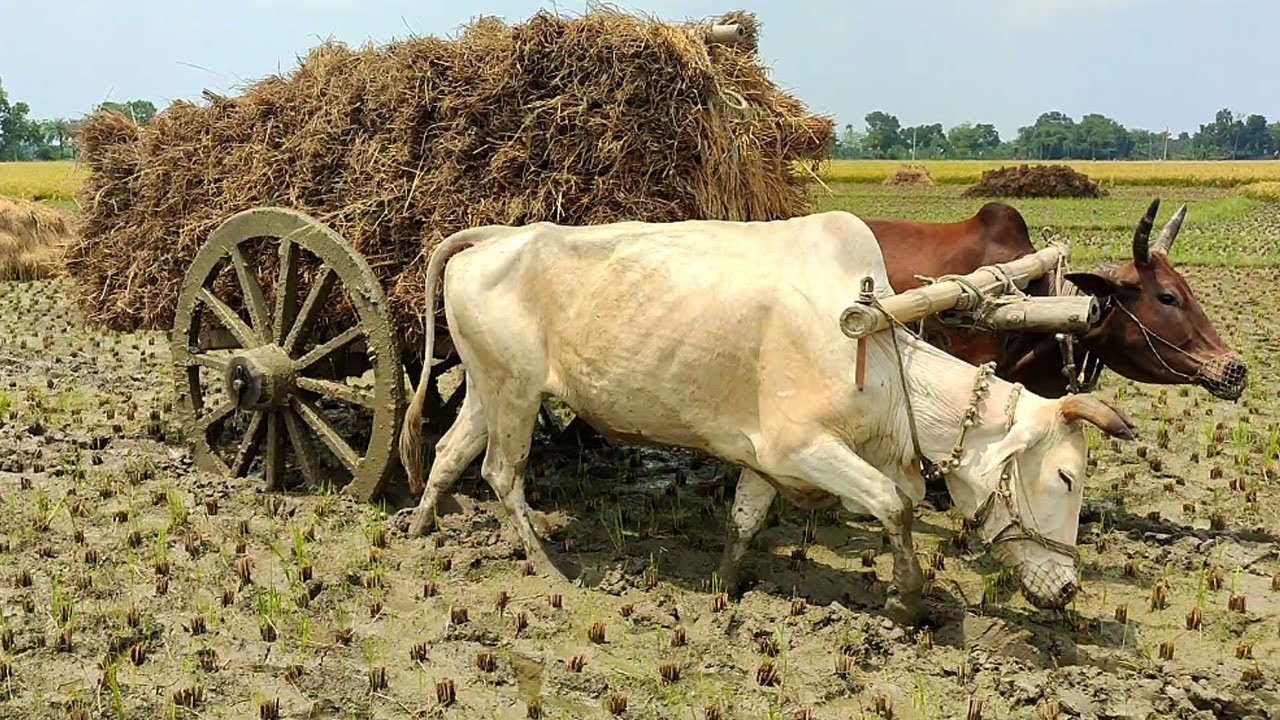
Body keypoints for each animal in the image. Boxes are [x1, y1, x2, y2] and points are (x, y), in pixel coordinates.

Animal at [398, 211, 1137, 624]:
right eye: (1066, 477)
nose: (1068, 591)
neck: (878, 349)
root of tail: (497, 236)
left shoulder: (762, 460)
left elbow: (746, 520)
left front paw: (726, 585)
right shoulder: (801, 448)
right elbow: (894, 504)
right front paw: (906, 603)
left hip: (489, 387)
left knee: (451, 453)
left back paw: (423, 528)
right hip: (516, 394)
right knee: (502, 472)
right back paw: (546, 565)